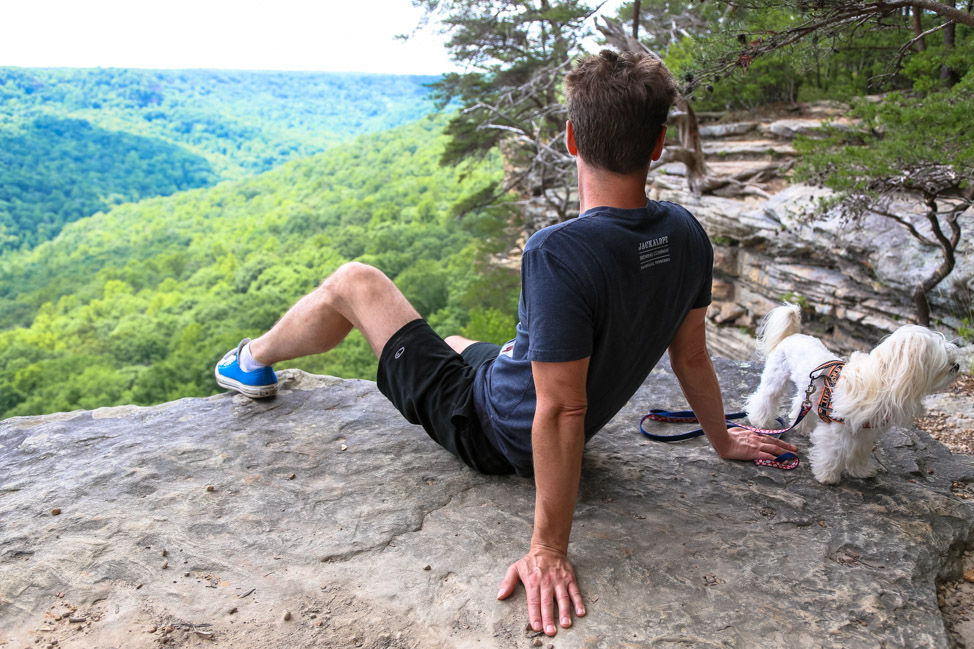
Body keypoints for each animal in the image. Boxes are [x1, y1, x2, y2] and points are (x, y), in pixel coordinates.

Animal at [748, 304, 960, 480]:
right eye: (945, 362)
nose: (957, 365)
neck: (878, 383)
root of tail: (793, 335)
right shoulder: (836, 430)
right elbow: (832, 453)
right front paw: (827, 476)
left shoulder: (866, 432)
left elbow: (860, 451)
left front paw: (861, 471)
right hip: (776, 377)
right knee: (766, 397)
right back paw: (761, 420)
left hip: (810, 388)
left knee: (801, 401)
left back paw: (803, 426)